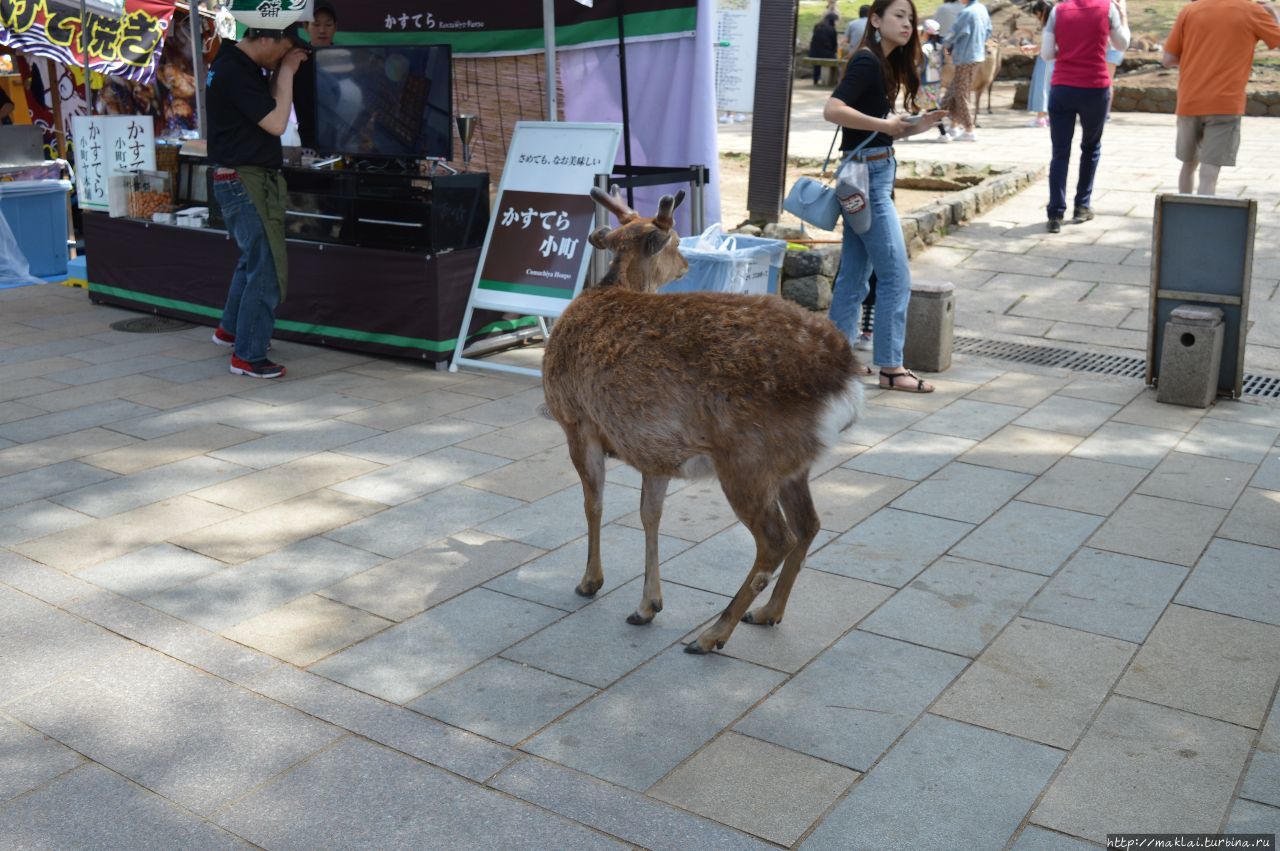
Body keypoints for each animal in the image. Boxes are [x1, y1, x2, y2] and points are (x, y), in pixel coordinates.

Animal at [545, 189, 865, 652]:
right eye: (678, 243)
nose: (686, 263)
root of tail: (845, 376)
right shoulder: (654, 450)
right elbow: (649, 514)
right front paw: (647, 606)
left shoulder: (575, 420)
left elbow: (594, 503)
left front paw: (590, 582)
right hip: (792, 463)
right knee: (809, 525)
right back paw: (767, 612)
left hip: (747, 460)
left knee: (776, 539)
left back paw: (712, 634)